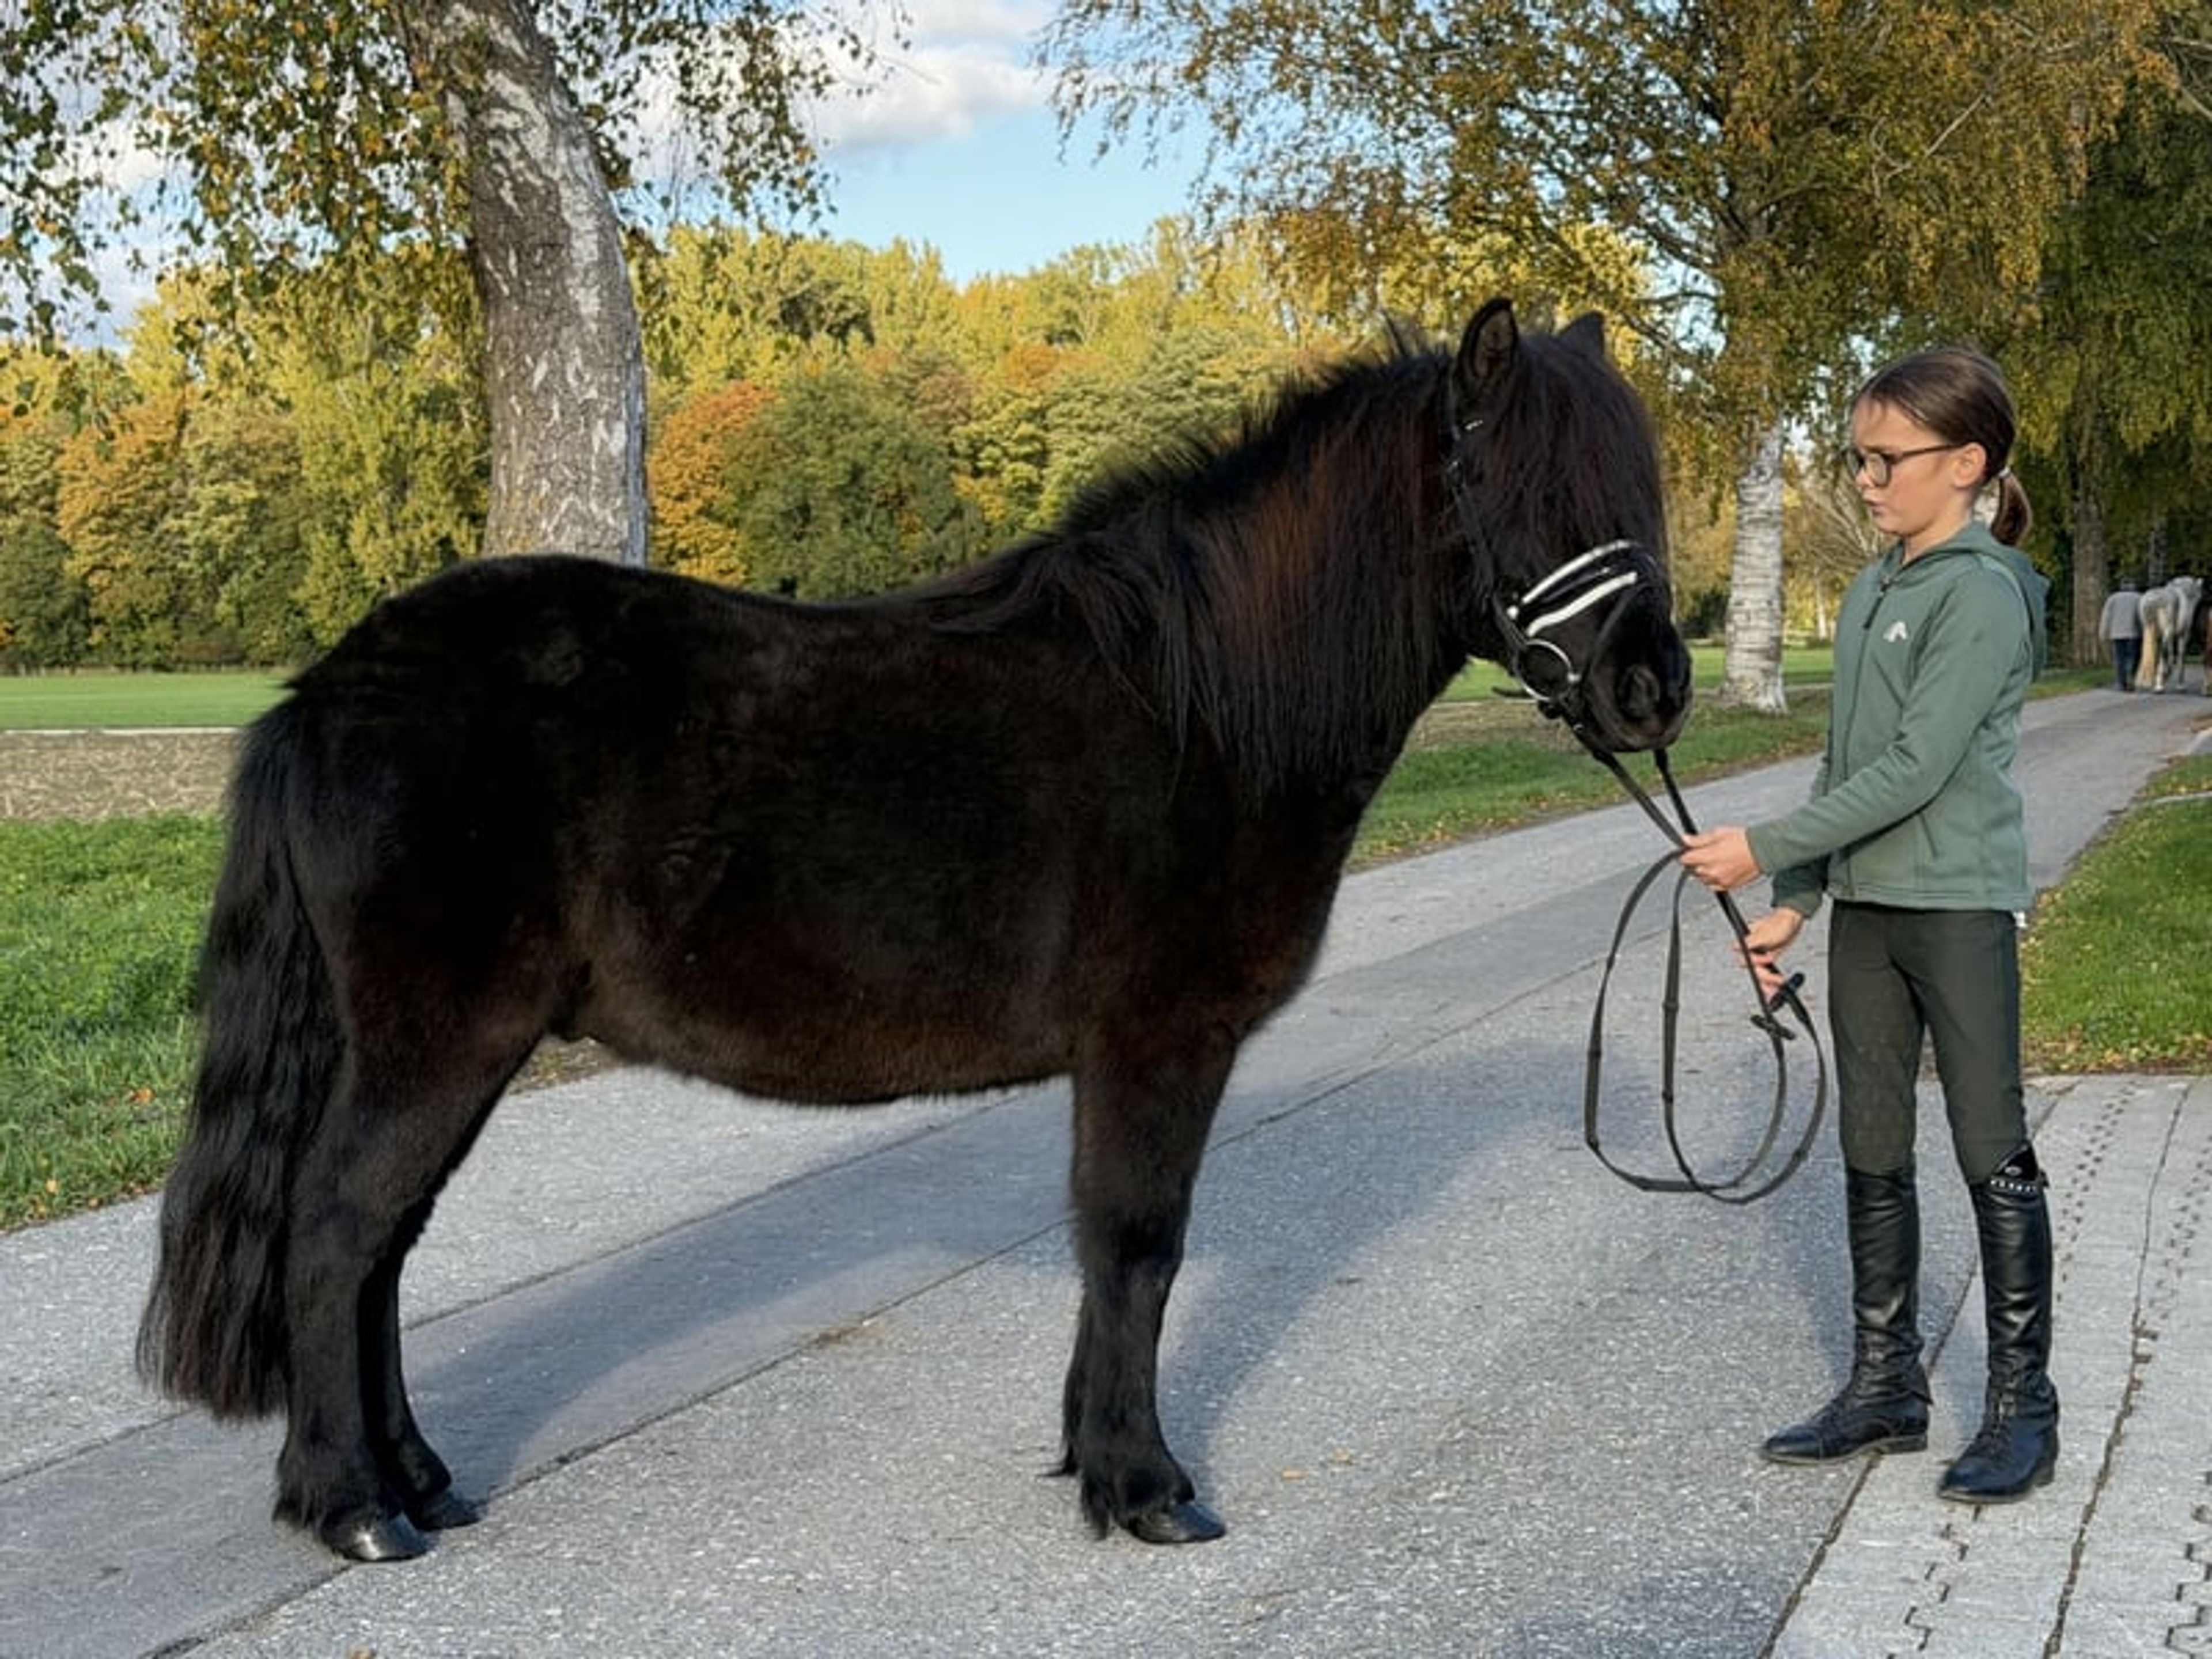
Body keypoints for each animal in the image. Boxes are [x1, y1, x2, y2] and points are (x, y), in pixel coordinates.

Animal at [137, 300, 1694, 1564]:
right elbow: (1140, 1245)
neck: (1198, 704)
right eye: (1524, 489)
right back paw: (352, 1507)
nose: (1653, 688)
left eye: (1639, 490)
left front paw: (1089, 1453)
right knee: (337, 1237)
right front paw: (1145, 1489)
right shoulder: (1158, 1040)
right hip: (436, 1041)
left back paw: (418, 1480)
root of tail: (327, 690)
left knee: (380, 1251)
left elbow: (1106, 1246)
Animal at [2137, 574, 2202, 693]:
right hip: (2168, 631)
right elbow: (2180, 655)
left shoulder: (2169, 636)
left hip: (2151, 632)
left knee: (2156, 652)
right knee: (2163, 651)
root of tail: (2153, 599)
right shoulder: (2183, 635)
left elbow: (2171, 653)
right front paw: (2180, 685)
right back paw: (2159, 686)